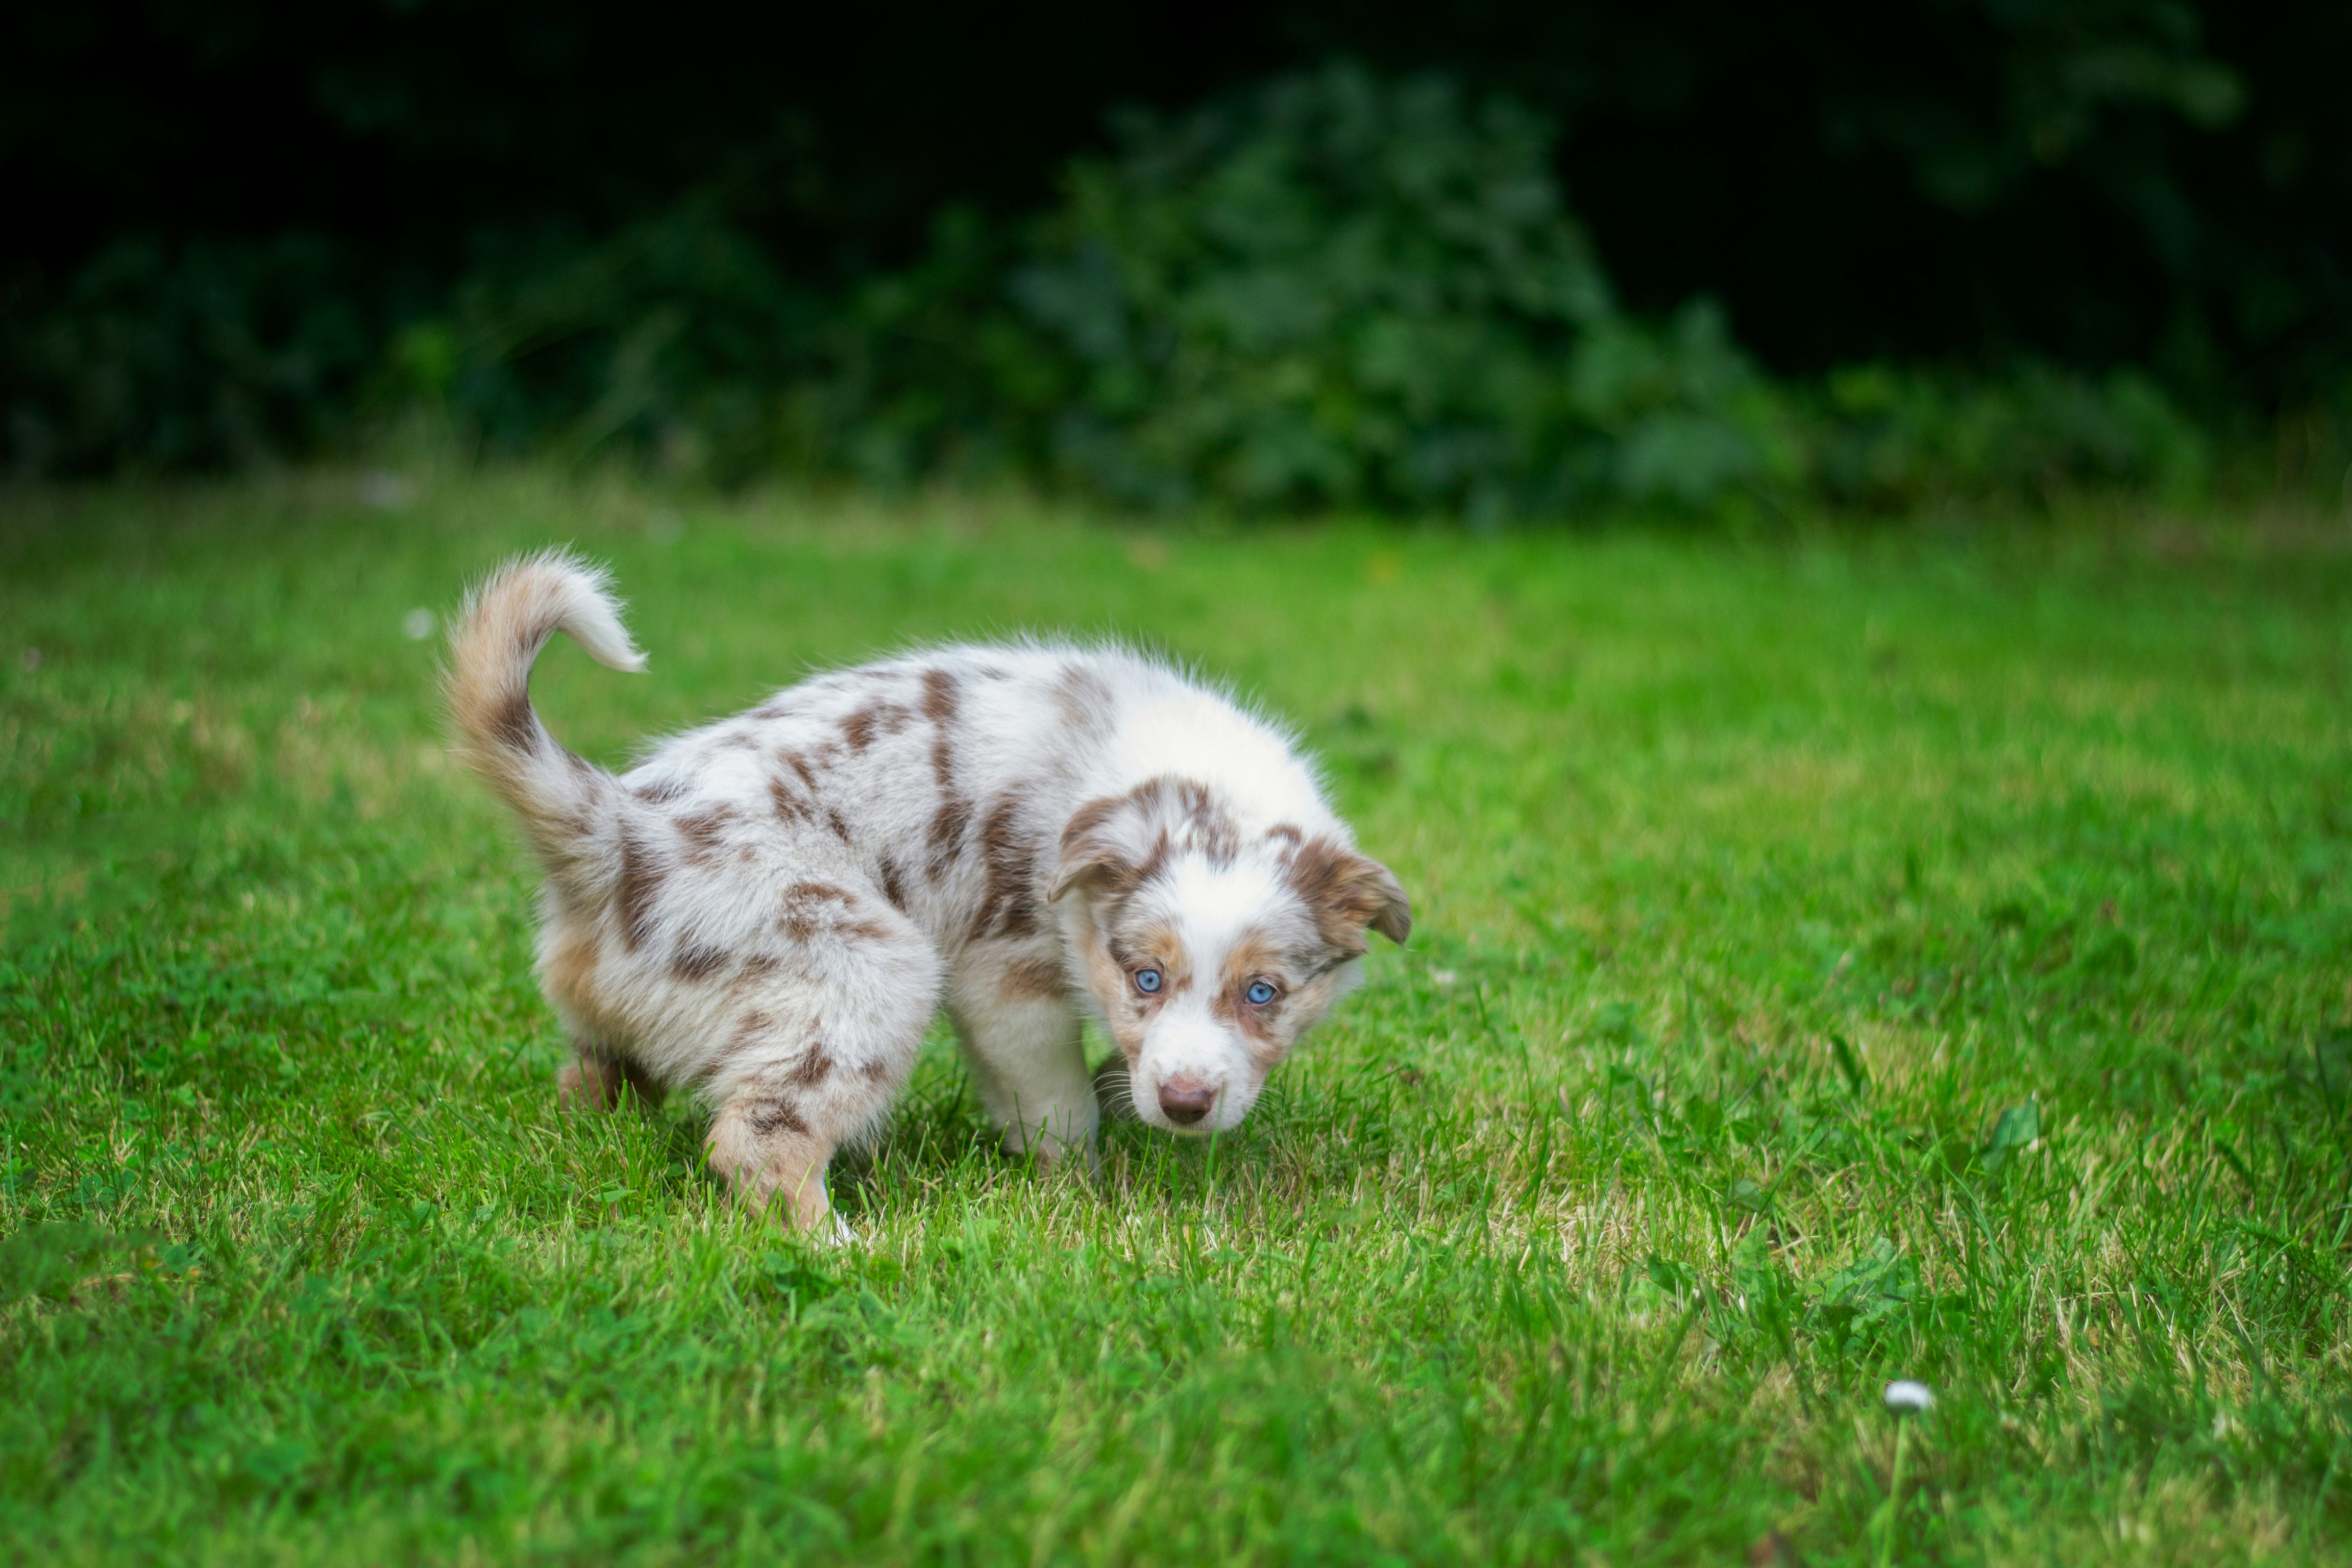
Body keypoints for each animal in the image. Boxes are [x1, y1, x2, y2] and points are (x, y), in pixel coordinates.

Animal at [449, 552, 1402, 1241]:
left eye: (1263, 993)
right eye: (1146, 979)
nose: (1185, 1107)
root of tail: (617, 828)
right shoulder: (1004, 977)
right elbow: (1055, 1105)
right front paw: (1083, 1194)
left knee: (592, 1082)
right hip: (871, 970)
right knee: (757, 1140)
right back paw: (848, 1248)